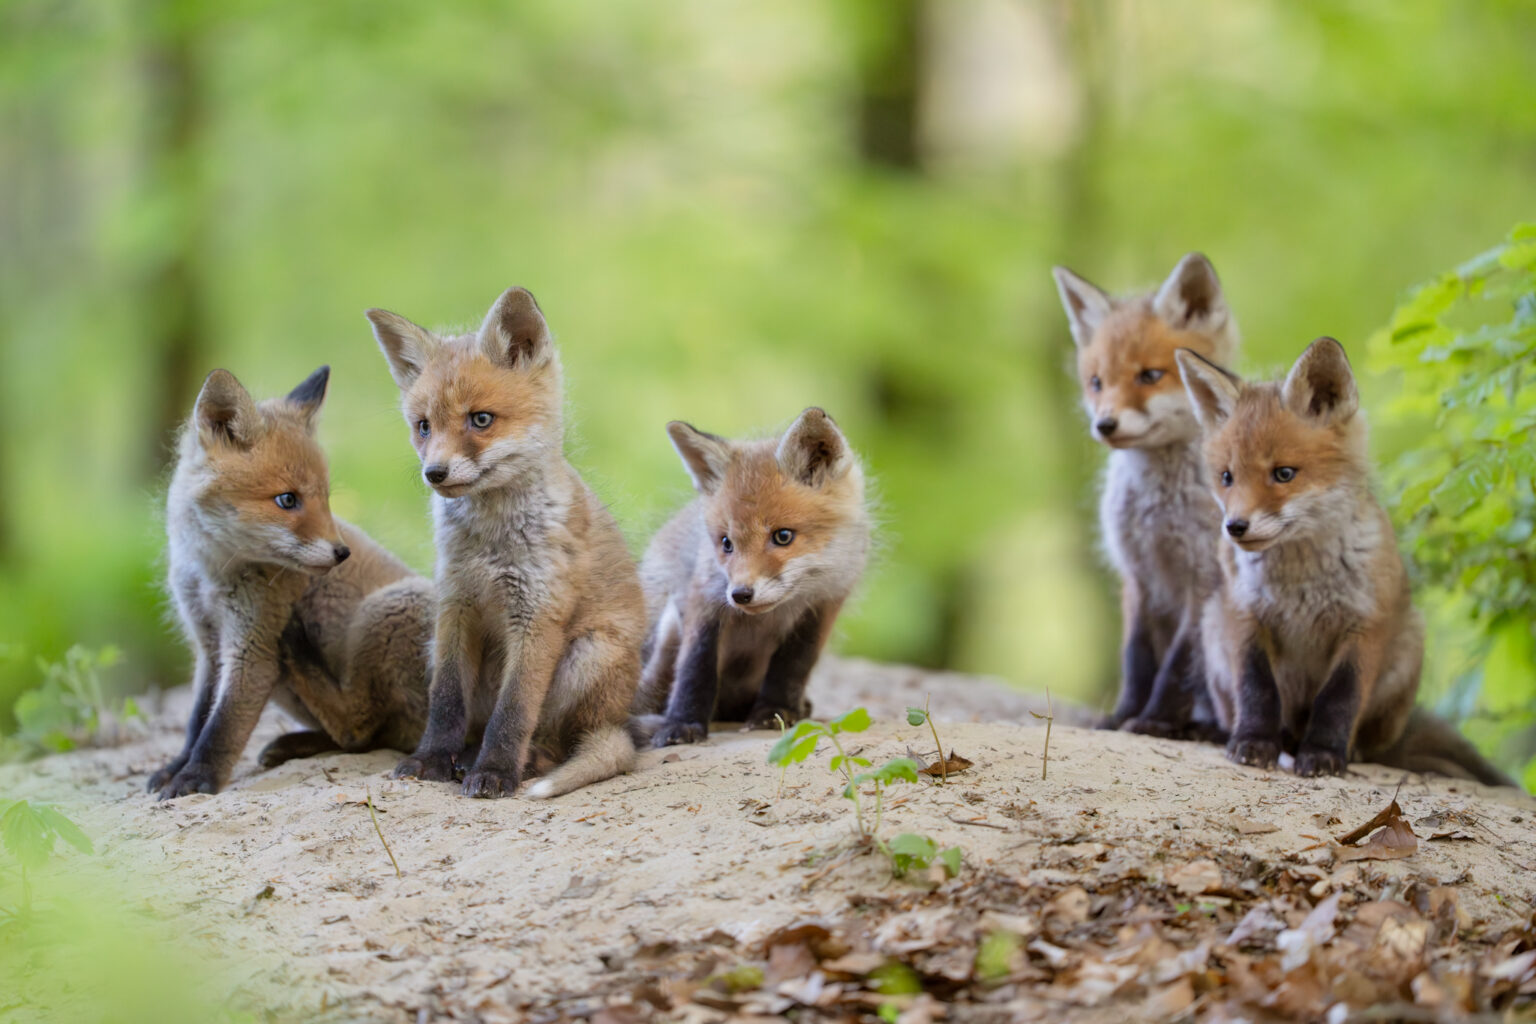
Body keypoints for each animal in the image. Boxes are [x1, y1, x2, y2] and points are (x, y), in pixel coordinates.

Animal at [149, 367, 434, 800]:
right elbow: (198, 721)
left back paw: (300, 656)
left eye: (326, 498)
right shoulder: (209, 645)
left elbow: (221, 729)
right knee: (364, 738)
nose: (342, 553)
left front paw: (195, 778)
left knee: (359, 727)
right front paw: (176, 767)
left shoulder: (253, 648)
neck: (210, 572)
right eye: (287, 500)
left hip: (387, 609)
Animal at [367, 286, 645, 799]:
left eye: (481, 420)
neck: (490, 543)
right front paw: (431, 759)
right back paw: (464, 756)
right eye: (423, 426)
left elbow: (513, 712)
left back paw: (526, 761)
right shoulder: (454, 607)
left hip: (587, 655)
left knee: (557, 740)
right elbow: (445, 703)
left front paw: (495, 771)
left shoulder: (537, 615)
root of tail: (621, 720)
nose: (434, 473)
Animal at [633, 409, 871, 746]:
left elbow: (793, 666)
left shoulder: (825, 602)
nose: (740, 594)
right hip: (665, 630)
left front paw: (775, 712)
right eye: (726, 543)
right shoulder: (705, 597)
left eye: (783, 536)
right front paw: (683, 723)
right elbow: (695, 667)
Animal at [1052, 252, 1237, 739]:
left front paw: (1154, 720)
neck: (1158, 512)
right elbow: (1136, 661)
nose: (1105, 424)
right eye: (1097, 382)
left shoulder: (1202, 579)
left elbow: (1176, 667)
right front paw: (1121, 716)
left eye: (1150, 376)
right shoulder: (1137, 575)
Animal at [1177, 338, 1513, 785]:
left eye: (1284, 474)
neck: (1302, 580)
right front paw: (1253, 742)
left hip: (1409, 643)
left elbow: (1339, 698)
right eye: (1227, 477)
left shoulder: (1365, 623)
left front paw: (1323, 754)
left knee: (1371, 742)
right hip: (1213, 623)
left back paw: (1346, 750)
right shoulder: (1244, 616)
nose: (1235, 527)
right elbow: (1256, 688)